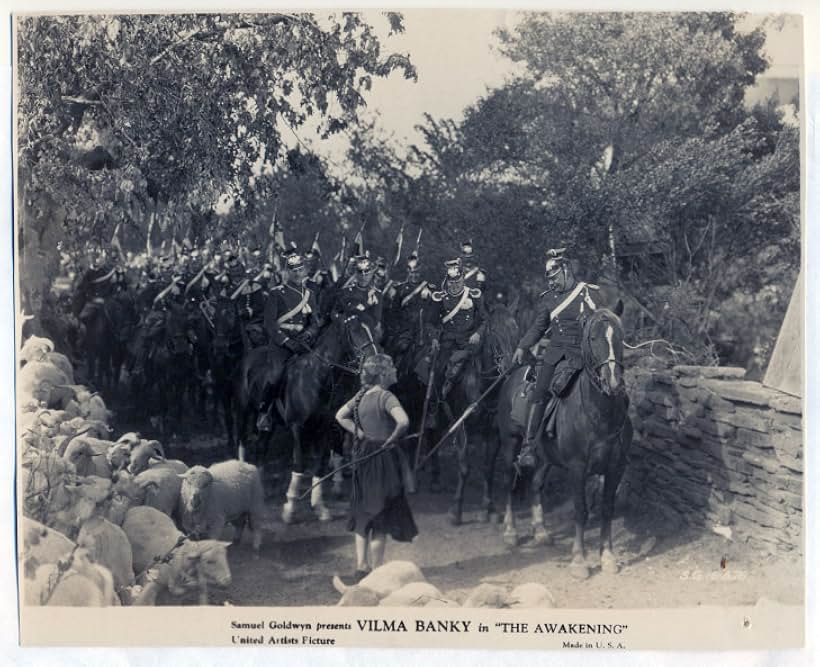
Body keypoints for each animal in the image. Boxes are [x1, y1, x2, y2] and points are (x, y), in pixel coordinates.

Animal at [490, 306, 632, 576]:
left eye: (621, 336)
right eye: (593, 338)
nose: (613, 382)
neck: (599, 413)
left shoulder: (615, 467)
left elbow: (607, 509)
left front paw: (607, 557)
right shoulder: (577, 468)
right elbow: (581, 510)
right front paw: (579, 561)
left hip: (545, 457)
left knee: (535, 485)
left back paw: (541, 531)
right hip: (509, 443)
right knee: (507, 481)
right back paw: (510, 532)